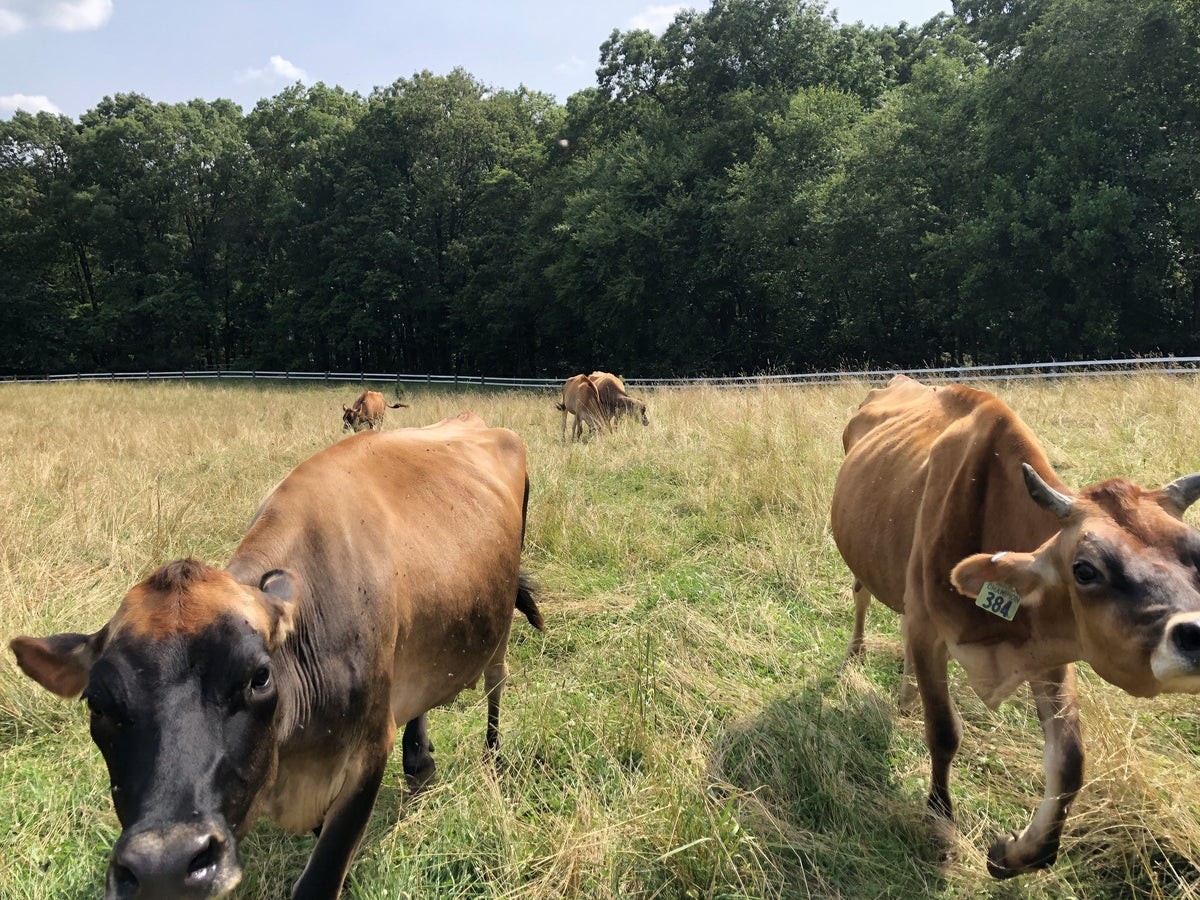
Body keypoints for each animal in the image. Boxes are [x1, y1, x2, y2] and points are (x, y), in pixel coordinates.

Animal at [10, 412, 544, 900]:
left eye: (259, 677)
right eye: (96, 704)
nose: (166, 865)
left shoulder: (368, 753)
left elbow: (321, 877)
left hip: (500, 616)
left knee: (496, 680)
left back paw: (492, 756)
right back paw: (420, 762)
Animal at [830, 375, 1200, 878]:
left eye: (1198, 551)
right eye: (1085, 569)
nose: (1196, 633)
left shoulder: (1053, 646)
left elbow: (1069, 761)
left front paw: (1016, 853)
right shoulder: (930, 632)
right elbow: (943, 732)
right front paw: (941, 827)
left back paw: (906, 697)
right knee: (862, 596)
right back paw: (857, 654)